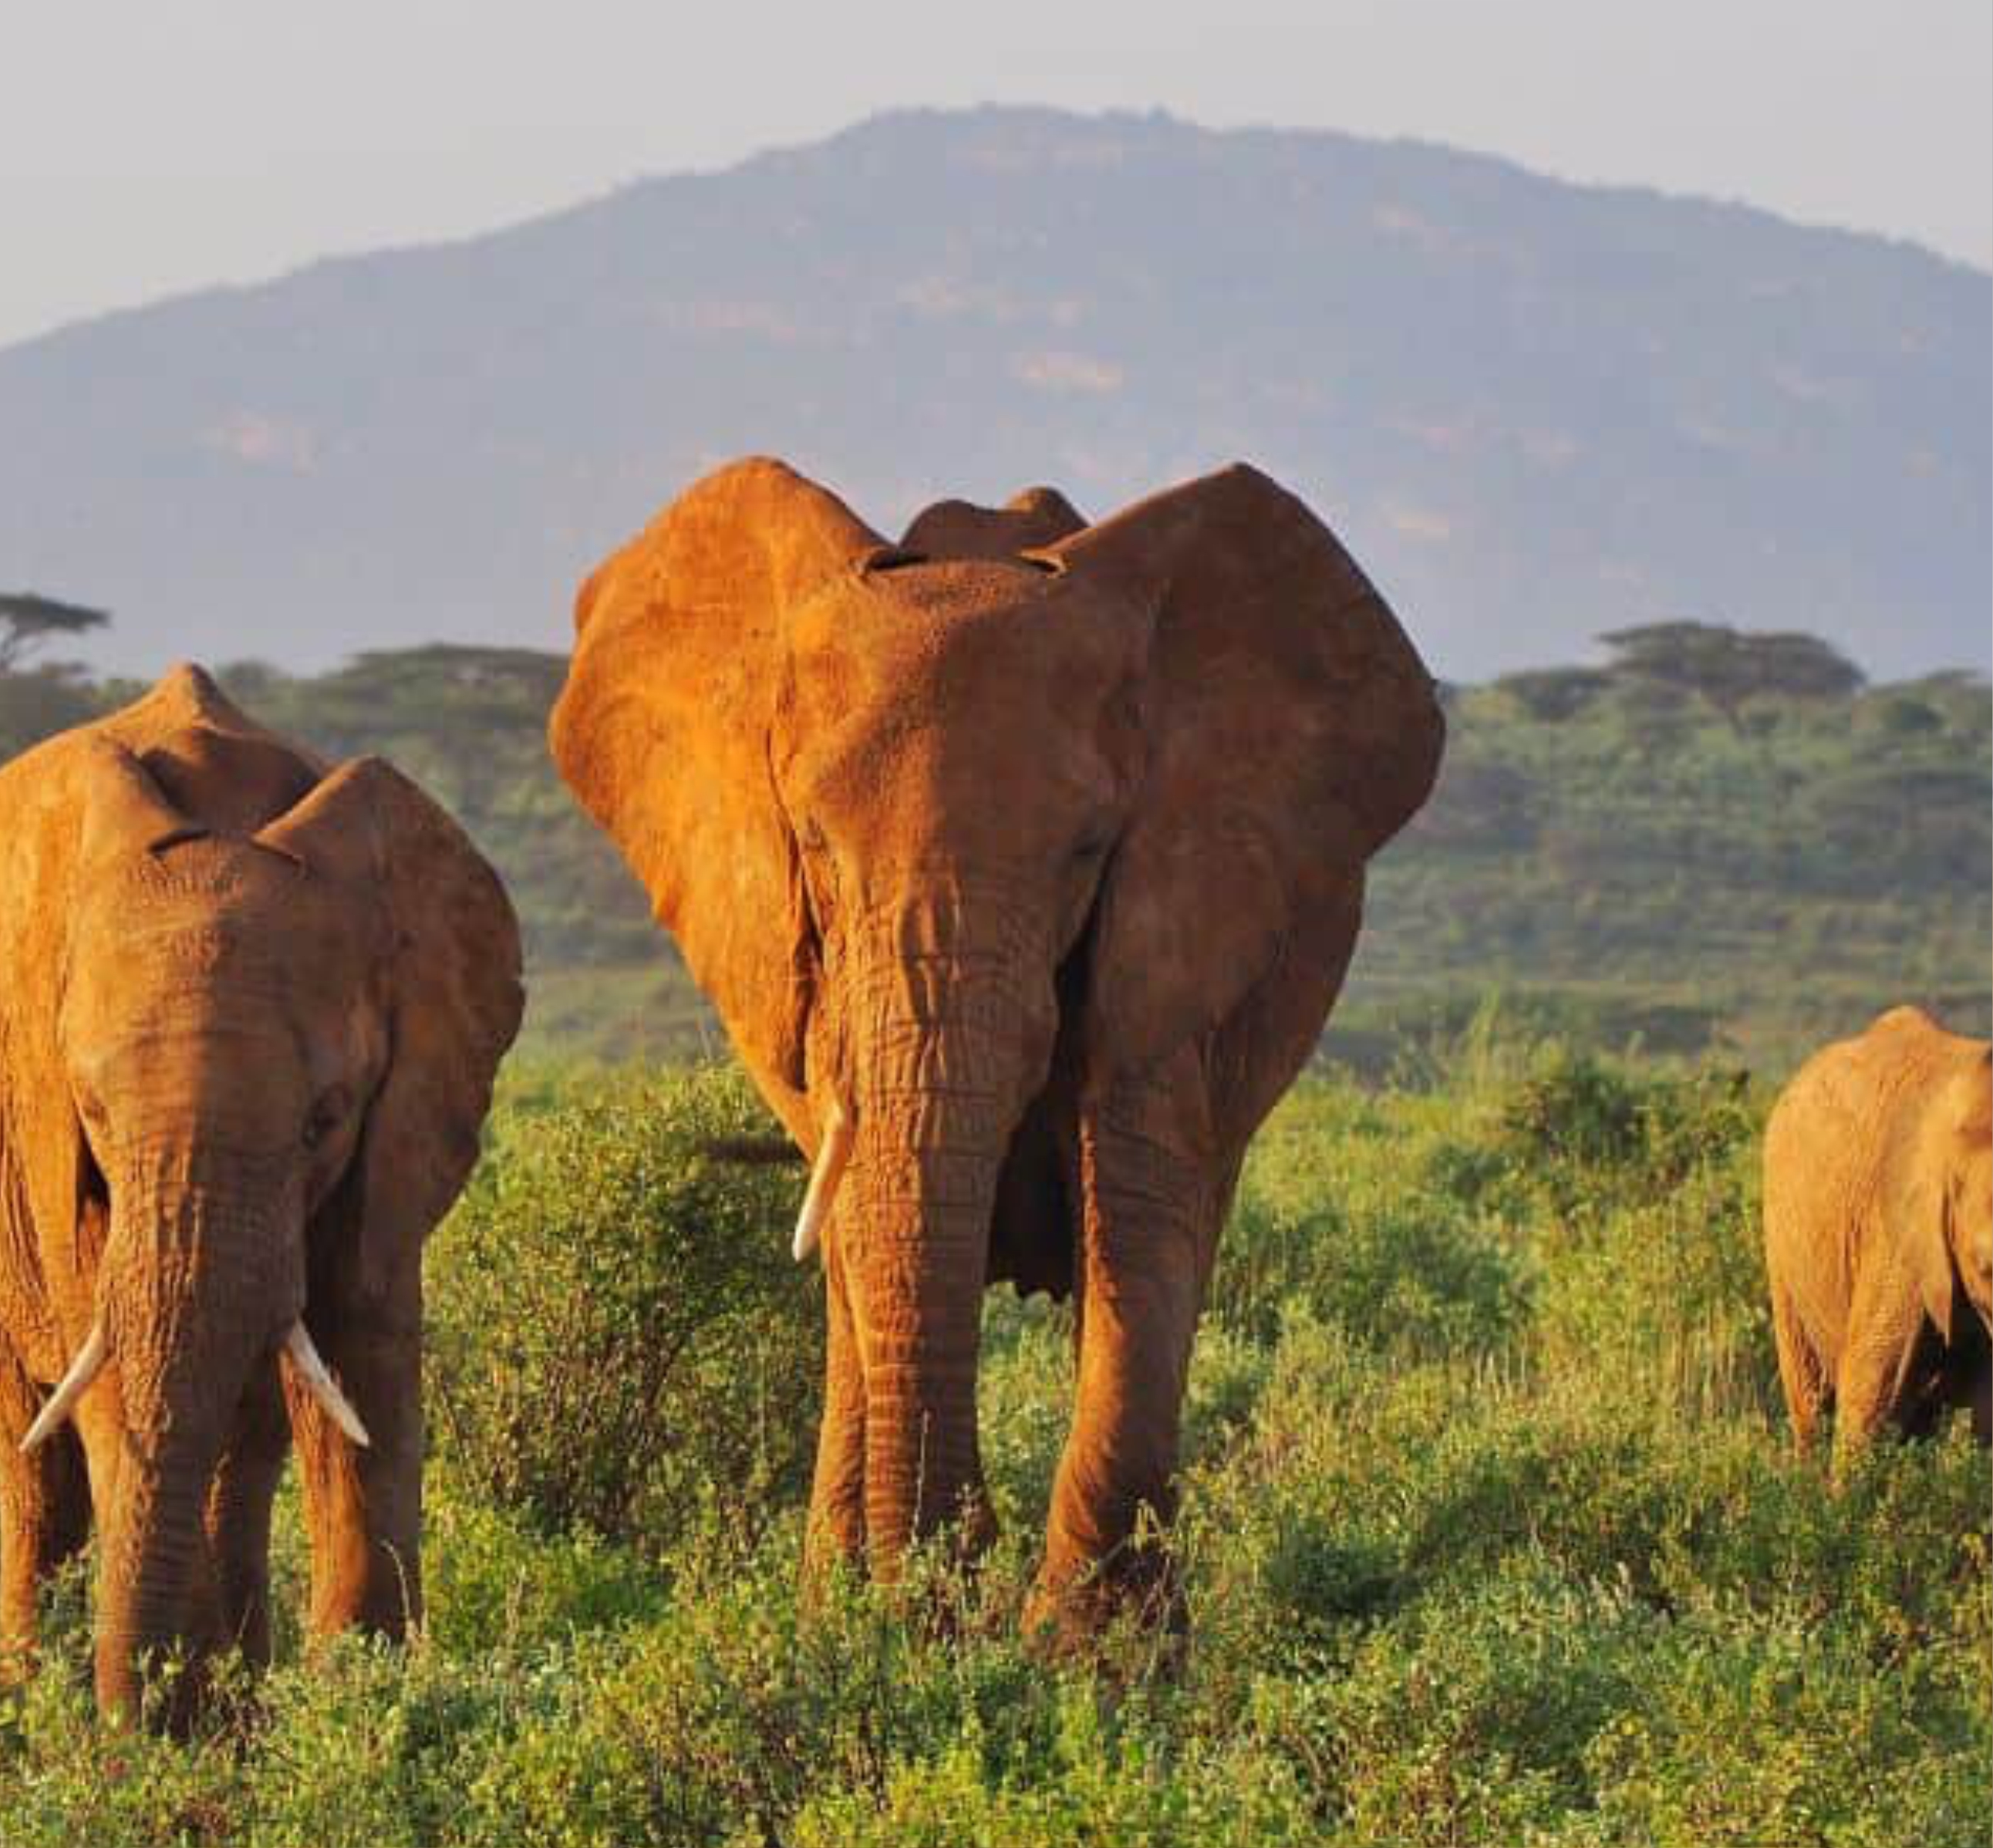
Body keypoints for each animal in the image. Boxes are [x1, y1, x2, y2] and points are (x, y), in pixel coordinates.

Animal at [0, 666, 522, 1722]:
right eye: (93, 1109)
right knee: (35, 1468)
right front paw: (171, 1730)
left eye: (325, 1117)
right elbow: (113, 1384)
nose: (135, 1723)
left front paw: (358, 1722)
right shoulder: (52, 1144)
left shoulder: (398, 1126)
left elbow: (364, 1363)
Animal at [554, 458, 1442, 1634]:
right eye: (814, 845)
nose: (950, 1581)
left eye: (1085, 850)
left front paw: (1089, 1660)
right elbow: (870, 1223)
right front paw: (899, 1626)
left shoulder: (1177, 922)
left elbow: (1141, 1215)